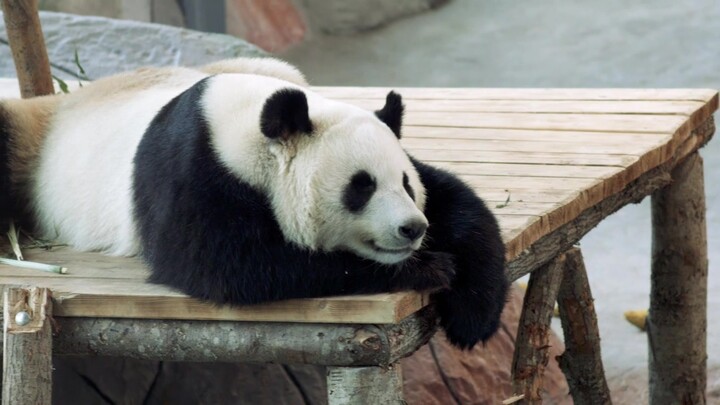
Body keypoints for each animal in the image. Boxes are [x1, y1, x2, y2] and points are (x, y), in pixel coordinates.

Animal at [0, 58, 507, 349]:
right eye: (360, 187)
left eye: (404, 183)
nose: (412, 229)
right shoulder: (191, 171)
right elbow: (226, 266)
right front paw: (429, 268)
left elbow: (459, 203)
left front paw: (472, 316)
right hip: (28, 145)